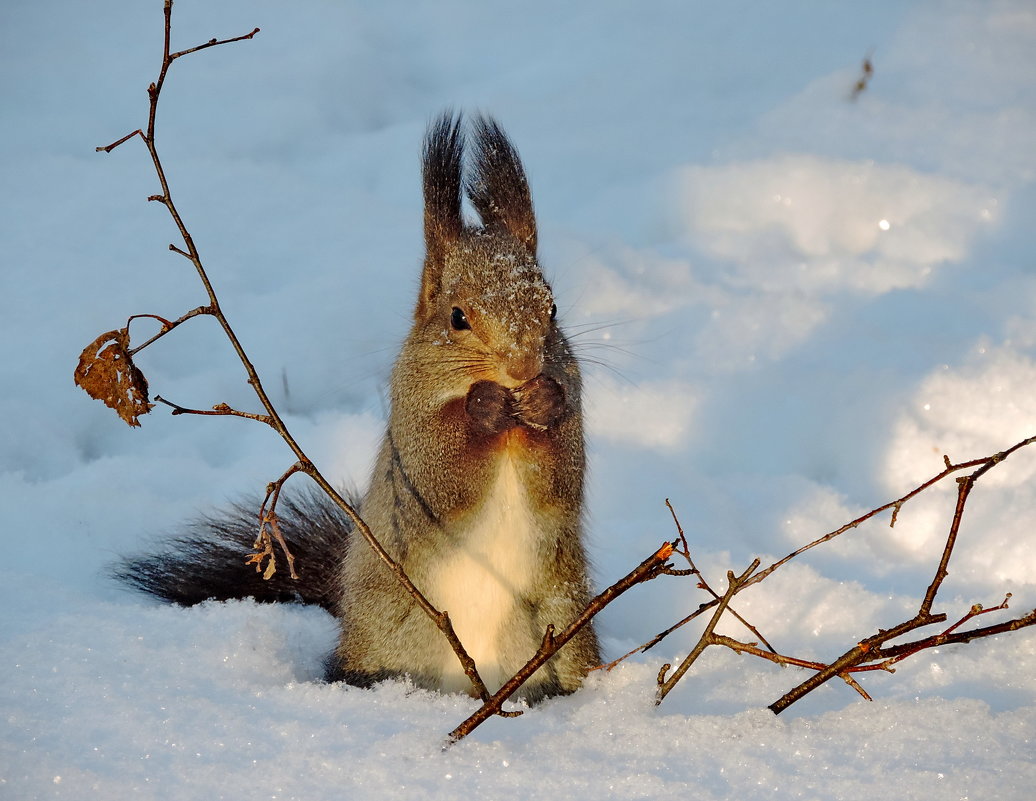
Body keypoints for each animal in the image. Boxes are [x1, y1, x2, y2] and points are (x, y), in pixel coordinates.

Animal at [114, 110, 605, 700]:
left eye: (552, 309)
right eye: (458, 317)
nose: (525, 366)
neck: (510, 425)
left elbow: (560, 476)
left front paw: (545, 401)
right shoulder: (411, 434)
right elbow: (444, 474)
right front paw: (483, 406)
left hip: (565, 631)